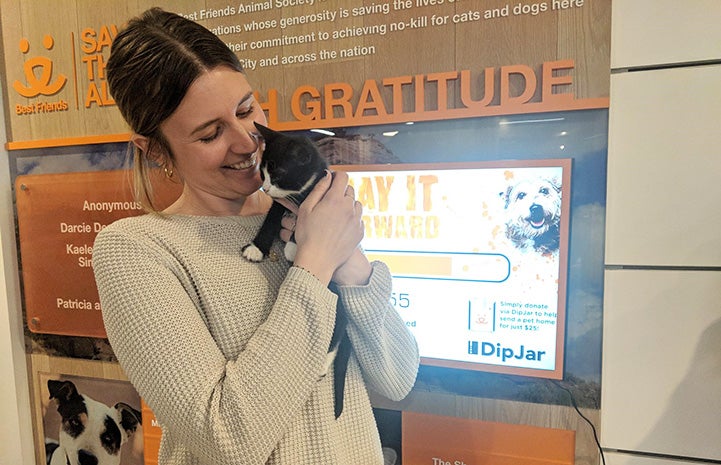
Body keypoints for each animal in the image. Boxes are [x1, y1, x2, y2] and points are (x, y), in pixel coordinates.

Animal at [245, 121, 352, 418]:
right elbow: (271, 220)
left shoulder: (321, 193)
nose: (265, 188)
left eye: (279, 174)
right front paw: (257, 248)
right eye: (262, 171)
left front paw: (294, 245)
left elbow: (306, 214)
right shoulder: (278, 205)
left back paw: (323, 364)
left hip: (336, 307)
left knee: (338, 333)